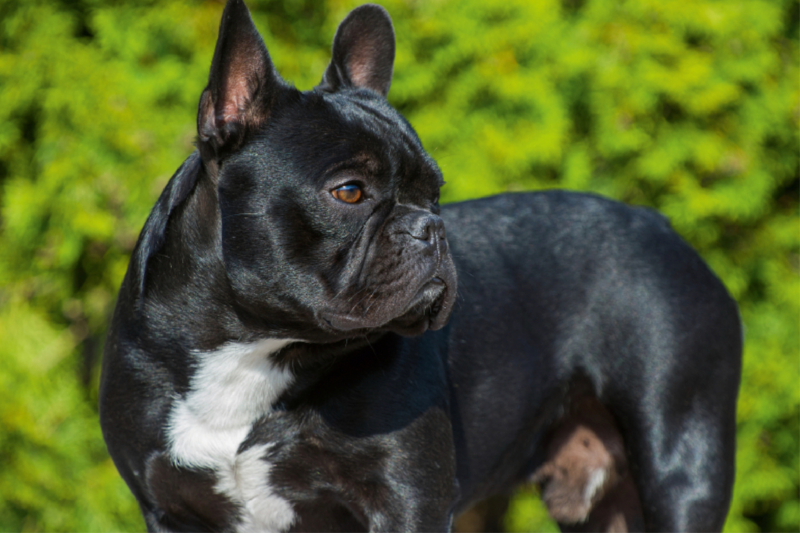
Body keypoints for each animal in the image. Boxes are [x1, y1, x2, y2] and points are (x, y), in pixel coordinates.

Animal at [100, 2, 744, 528]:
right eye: (350, 192)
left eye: (434, 195)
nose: (430, 227)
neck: (253, 345)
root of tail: (661, 225)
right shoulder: (169, 508)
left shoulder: (406, 500)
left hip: (681, 460)